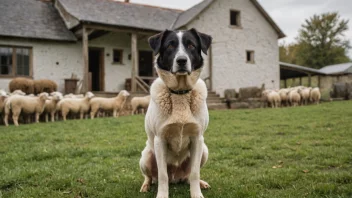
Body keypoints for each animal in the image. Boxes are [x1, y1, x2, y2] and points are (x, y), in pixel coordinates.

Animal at [139, 29, 212, 198]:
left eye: (191, 45)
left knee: (189, 176)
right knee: (151, 176)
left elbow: (195, 173)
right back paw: (146, 186)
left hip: (204, 150)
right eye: (170, 46)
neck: (180, 93)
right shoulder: (160, 139)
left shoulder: (197, 138)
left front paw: (196, 194)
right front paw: (162, 195)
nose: (181, 61)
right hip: (146, 157)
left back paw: (201, 183)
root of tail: (176, 178)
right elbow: (162, 175)